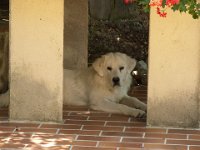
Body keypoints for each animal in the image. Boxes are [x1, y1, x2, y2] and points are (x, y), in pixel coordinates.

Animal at [0, 52, 147, 117]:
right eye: (109, 68)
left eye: (121, 68)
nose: (116, 80)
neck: (104, 82)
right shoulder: (99, 102)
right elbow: (121, 106)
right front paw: (135, 112)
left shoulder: (121, 96)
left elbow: (135, 99)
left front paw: (143, 107)